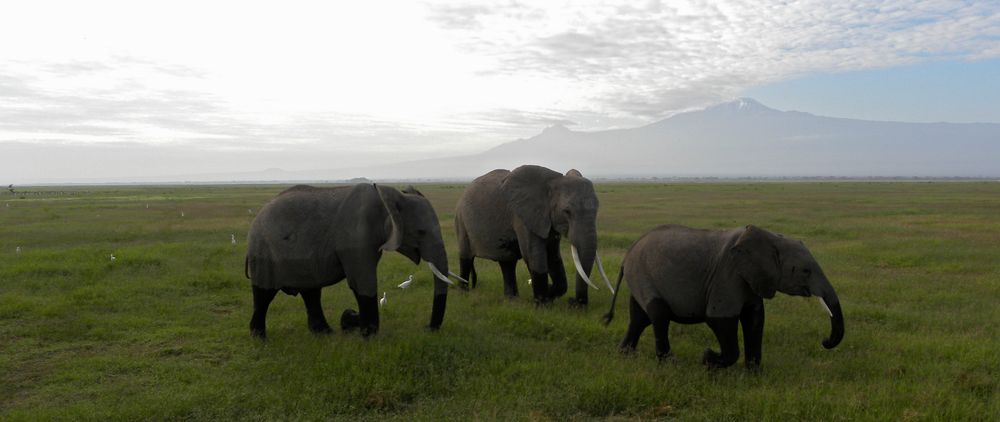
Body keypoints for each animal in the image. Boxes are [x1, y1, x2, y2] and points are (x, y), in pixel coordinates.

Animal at [244, 185, 462, 340]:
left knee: (311, 293)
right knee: (264, 295)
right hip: (263, 252)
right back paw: (259, 338)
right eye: (421, 232)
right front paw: (368, 334)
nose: (428, 328)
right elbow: (363, 282)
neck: (387, 198)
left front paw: (351, 321)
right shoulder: (357, 238)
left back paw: (324, 333)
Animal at [456, 163, 612, 304]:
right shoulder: (522, 215)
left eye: (597, 209)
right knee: (466, 258)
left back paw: (512, 300)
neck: (552, 183)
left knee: (507, 262)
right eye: (567, 211)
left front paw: (549, 295)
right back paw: (463, 293)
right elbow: (534, 256)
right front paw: (542, 304)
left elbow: (554, 257)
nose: (574, 302)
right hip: (461, 220)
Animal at [600, 224, 844, 370]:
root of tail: (627, 256)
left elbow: (755, 319)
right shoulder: (728, 275)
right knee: (659, 316)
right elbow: (720, 319)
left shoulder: (751, 278)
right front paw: (708, 359)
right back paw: (670, 363)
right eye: (806, 271)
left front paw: (752, 373)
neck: (770, 237)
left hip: (639, 277)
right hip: (643, 274)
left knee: (639, 318)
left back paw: (624, 355)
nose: (825, 341)